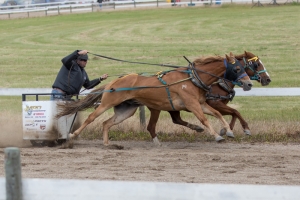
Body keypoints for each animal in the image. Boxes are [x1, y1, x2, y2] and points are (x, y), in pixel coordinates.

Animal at [56, 52, 253, 148]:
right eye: (237, 68)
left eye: (244, 67)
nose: (249, 83)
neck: (191, 79)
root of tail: (114, 81)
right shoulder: (192, 105)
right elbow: (204, 119)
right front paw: (217, 136)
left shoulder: (202, 104)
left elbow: (217, 114)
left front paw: (228, 131)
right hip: (107, 103)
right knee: (92, 118)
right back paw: (72, 135)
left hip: (127, 109)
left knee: (106, 123)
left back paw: (106, 143)